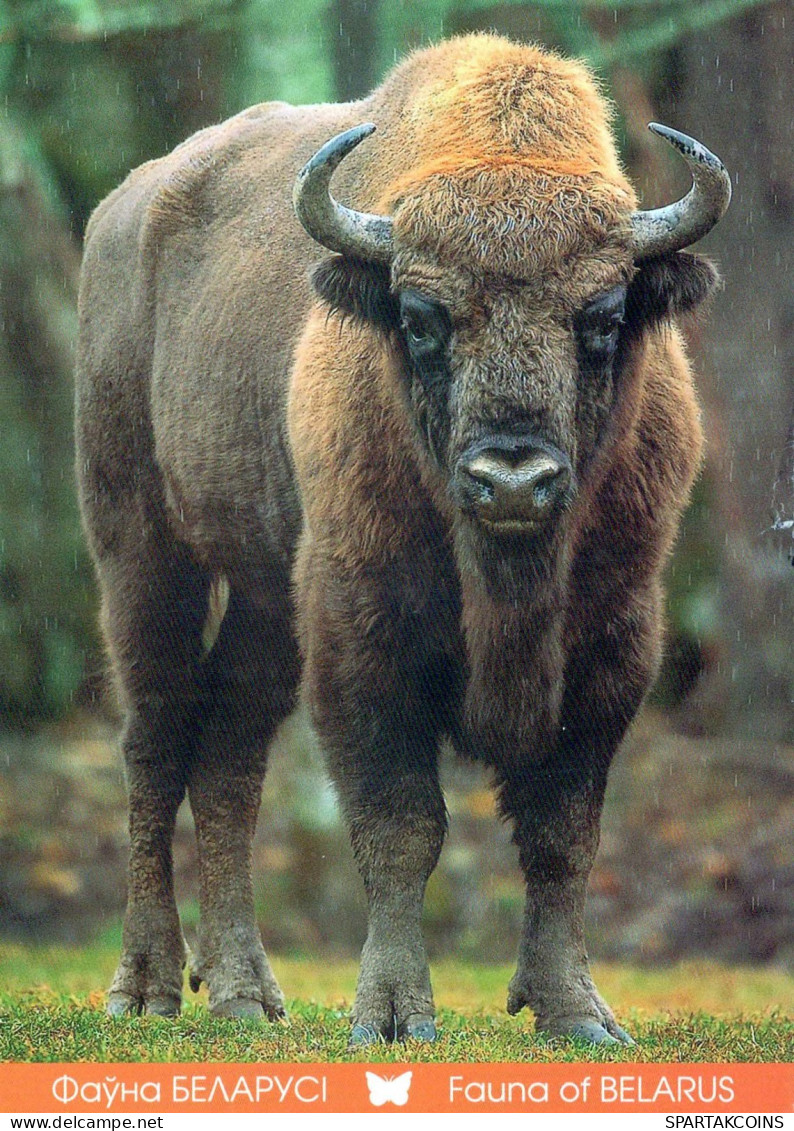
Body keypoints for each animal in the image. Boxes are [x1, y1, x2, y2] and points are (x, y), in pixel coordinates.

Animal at [76, 33, 732, 1040]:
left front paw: (575, 1013)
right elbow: (402, 825)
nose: (512, 479)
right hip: (142, 550)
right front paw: (389, 1015)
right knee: (154, 740)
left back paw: (244, 994)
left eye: (605, 316)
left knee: (229, 751)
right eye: (422, 319)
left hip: (267, 595)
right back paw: (146, 987)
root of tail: (123, 209)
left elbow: (562, 830)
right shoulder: (361, 630)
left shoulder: (618, 638)